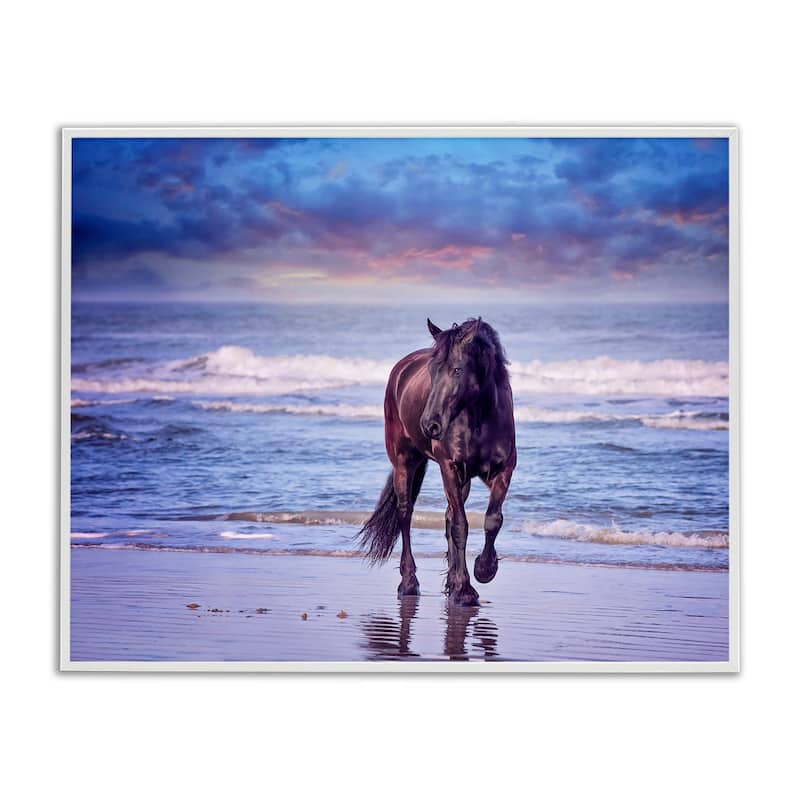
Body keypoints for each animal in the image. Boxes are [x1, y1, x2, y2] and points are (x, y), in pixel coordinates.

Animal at [358, 317, 516, 606]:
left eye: (457, 369)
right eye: (432, 371)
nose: (429, 424)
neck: (479, 418)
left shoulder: (503, 470)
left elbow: (492, 520)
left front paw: (483, 570)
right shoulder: (449, 468)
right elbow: (460, 525)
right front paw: (465, 590)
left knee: (448, 516)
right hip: (404, 463)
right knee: (405, 514)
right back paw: (409, 583)